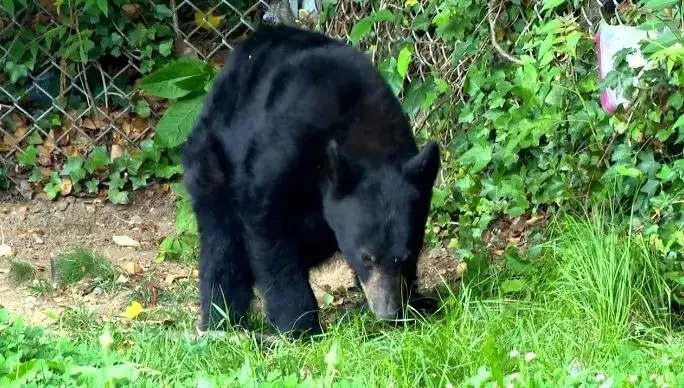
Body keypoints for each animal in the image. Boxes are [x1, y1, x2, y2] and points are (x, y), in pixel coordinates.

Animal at [183, 25, 438, 340]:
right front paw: (299, 326)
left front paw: (416, 304)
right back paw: (222, 321)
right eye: (367, 257)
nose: (386, 312)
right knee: (223, 241)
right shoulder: (286, 140)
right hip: (212, 157)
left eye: (406, 257)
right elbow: (265, 219)